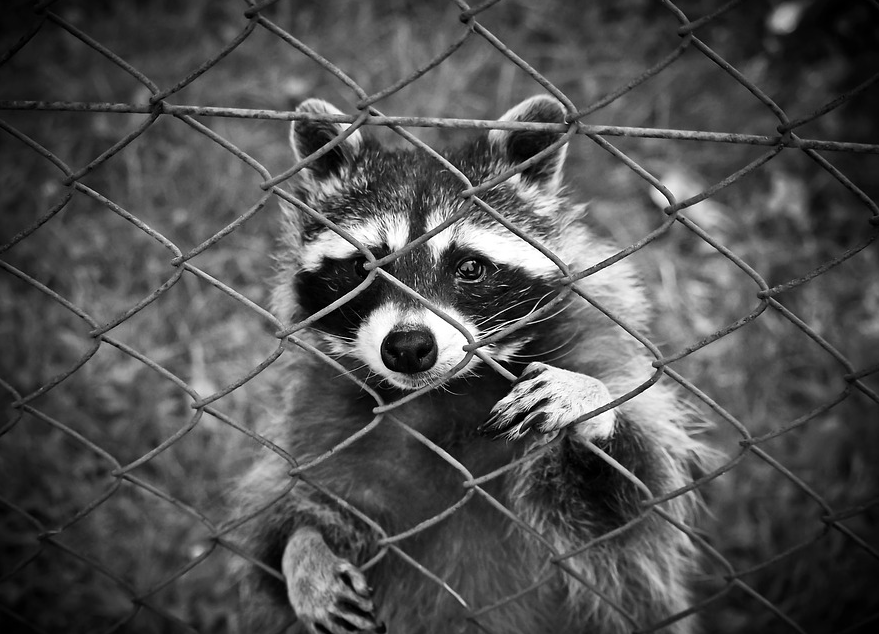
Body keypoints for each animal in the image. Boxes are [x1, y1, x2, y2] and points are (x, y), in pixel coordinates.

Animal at [235, 96, 710, 634]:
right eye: (363, 268)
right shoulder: (322, 419)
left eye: (470, 267)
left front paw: (590, 402)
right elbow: (291, 514)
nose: (408, 347)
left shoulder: (594, 346)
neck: (445, 396)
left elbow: (626, 514)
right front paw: (303, 550)